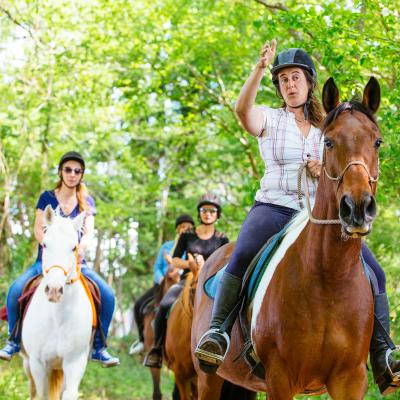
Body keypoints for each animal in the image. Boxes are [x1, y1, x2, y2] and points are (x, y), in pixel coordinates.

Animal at [21, 205, 92, 398]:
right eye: (45, 244)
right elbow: (42, 395)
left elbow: (69, 394)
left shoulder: (74, 363)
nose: (54, 290)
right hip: (28, 364)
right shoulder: (38, 364)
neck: (58, 319)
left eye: (74, 248)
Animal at [192, 76, 382, 398]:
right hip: (209, 378)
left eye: (377, 142)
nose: (357, 209)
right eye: (328, 142)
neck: (329, 278)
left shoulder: (351, 379)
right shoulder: (280, 377)